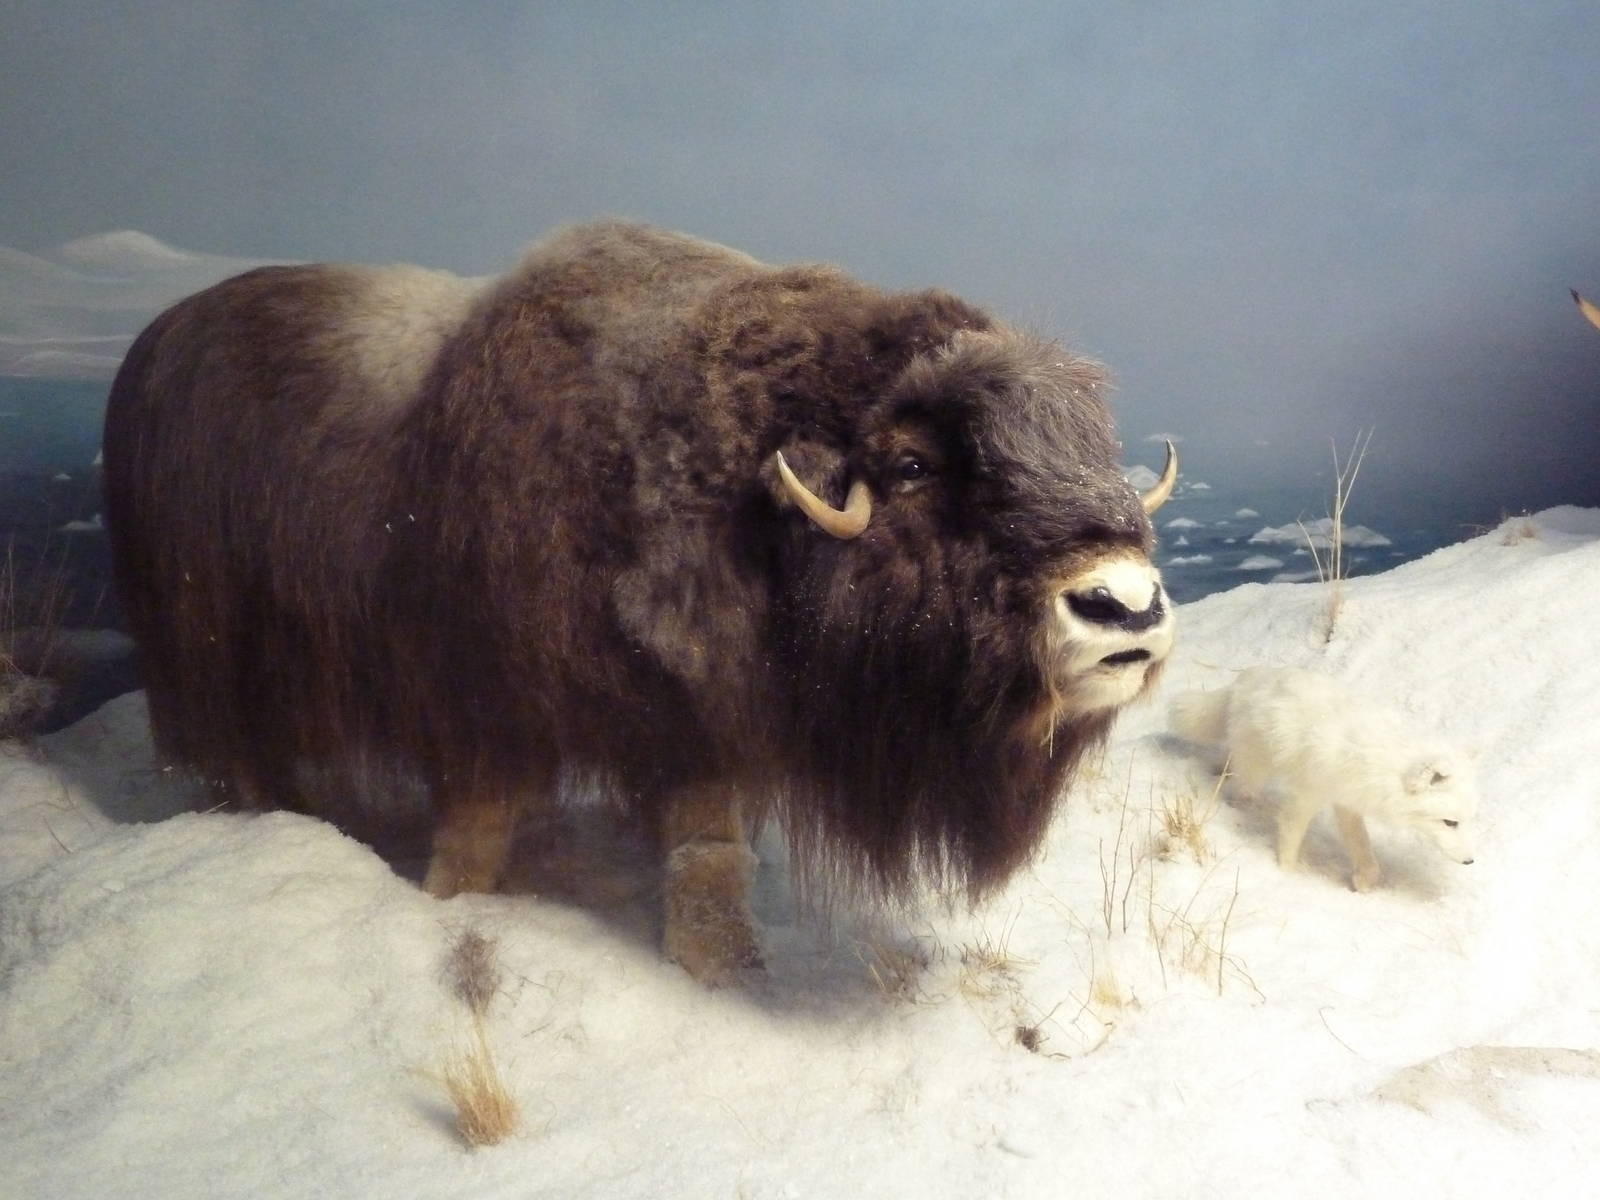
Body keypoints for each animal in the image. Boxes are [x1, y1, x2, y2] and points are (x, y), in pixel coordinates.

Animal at [1169, 667, 1478, 891]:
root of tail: (1246, 678)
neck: (1381, 762)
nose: (1469, 861)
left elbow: (1362, 846)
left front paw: (1364, 881)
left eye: (1465, 822)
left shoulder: (1347, 802)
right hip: (1257, 770)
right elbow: (1290, 840)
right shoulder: (1305, 796)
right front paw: (1285, 874)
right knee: (1240, 784)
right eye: (1450, 823)